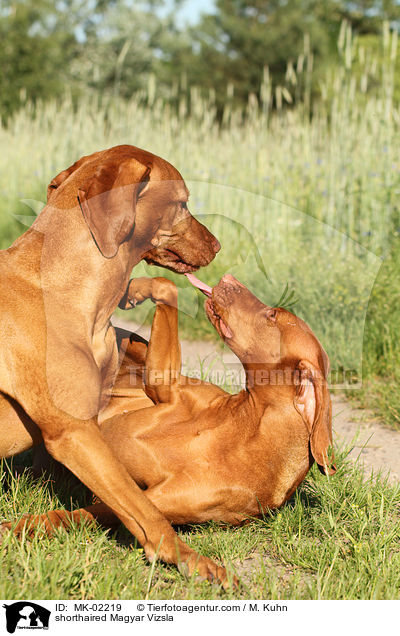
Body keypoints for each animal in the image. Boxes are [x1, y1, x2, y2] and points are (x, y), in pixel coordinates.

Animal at [2, 278, 334, 548]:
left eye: (272, 315)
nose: (228, 279)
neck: (242, 434)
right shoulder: (164, 386)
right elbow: (166, 288)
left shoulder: (150, 500)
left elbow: (76, 515)